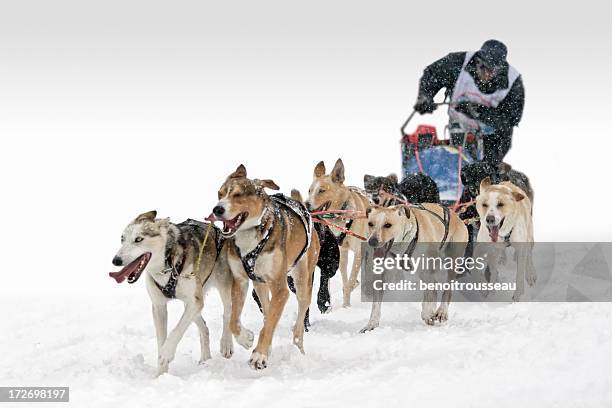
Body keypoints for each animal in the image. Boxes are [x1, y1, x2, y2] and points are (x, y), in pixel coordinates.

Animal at [110, 214, 253, 376]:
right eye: (122, 239)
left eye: (138, 239)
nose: (116, 260)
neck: (167, 266)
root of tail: (219, 231)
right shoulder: (160, 307)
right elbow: (162, 339)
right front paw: (161, 374)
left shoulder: (194, 302)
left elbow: (176, 331)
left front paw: (166, 353)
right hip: (193, 302)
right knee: (204, 327)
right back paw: (206, 359)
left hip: (222, 286)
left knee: (228, 313)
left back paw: (230, 343)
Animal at [209, 163, 318, 370]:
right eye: (220, 193)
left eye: (238, 195)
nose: (217, 209)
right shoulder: (240, 281)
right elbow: (234, 320)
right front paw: (246, 339)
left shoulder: (280, 288)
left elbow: (269, 326)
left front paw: (259, 355)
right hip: (259, 285)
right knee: (267, 313)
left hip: (302, 281)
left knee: (299, 319)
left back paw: (297, 348)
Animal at [308, 159, 370, 306]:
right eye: (309, 190)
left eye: (322, 190)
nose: (306, 204)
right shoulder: (343, 250)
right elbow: (345, 279)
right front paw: (346, 305)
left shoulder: (359, 251)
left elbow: (351, 279)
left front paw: (351, 288)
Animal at [364, 202, 468, 330]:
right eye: (370, 224)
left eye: (388, 225)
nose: (372, 241)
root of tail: (456, 216)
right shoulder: (382, 275)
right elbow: (376, 305)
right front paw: (371, 324)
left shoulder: (428, 270)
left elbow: (430, 295)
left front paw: (428, 313)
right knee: (433, 288)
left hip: (451, 262)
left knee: (446, 289)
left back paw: (441, 311)